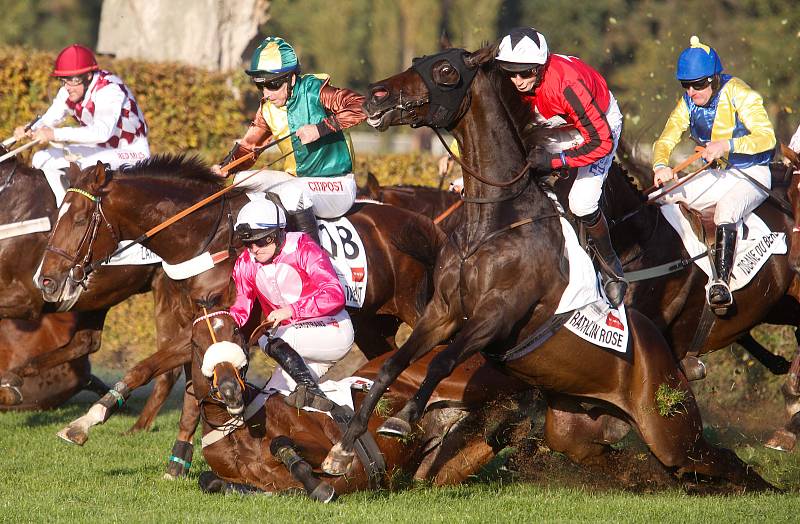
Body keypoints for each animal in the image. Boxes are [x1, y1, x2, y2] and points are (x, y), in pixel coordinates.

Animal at [34, 155, 446, 474]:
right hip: (374, 323)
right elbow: (171, 380)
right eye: (58, 214)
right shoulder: (198, 327)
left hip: (417, 307)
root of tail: (421, 223)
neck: (204, 239)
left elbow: (159, 372)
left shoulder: (233, 324)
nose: (46, 281)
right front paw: (99, 427)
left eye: (80, 218)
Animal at [188, 296, 536, 498]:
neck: (237, 430)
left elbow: (283, 445)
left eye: (236, 333)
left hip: (475, 380)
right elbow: (212, 481)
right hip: (443, 464)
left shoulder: (324, 447)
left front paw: (318, 486)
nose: (230, 390)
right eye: (195, 341)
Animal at [320, 45, 776, 492]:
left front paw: (400, 420)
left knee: (720, 459)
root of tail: (667, 358)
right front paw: (342, 449)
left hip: (669, 427)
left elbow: (441, 361)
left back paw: (768, 488)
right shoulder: (443, 312)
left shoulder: (496, 316)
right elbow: (394, 363)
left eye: (445, 70)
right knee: (648, 467)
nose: (375, 96)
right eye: (418, 62)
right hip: (579, 430)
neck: (493, 222)